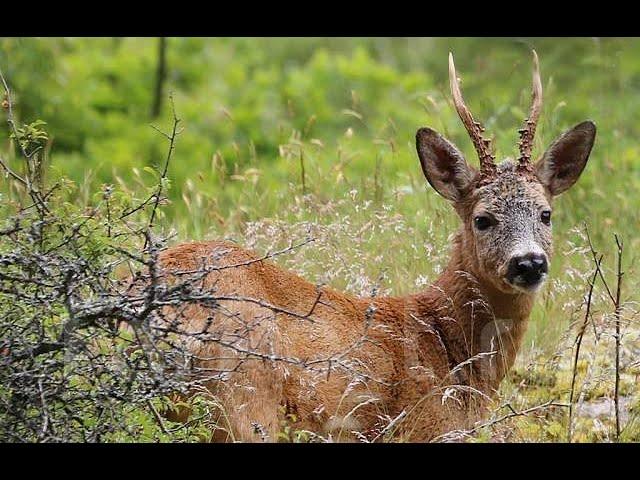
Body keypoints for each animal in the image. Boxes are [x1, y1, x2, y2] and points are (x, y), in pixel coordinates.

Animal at [154, 50, 596, 440]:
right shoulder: (424, 427)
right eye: (482, 219)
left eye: (545, 214)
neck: (446, 347)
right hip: (242, 397)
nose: (529, 263)